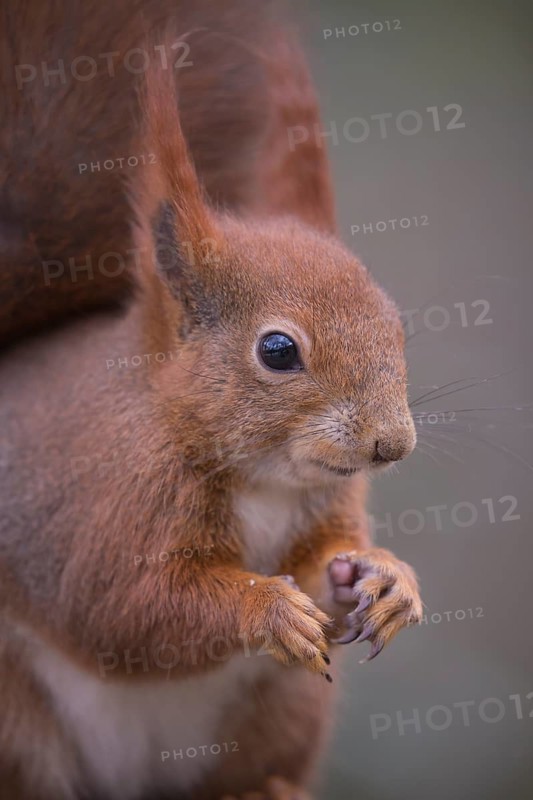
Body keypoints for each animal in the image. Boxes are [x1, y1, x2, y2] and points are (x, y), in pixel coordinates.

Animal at [0, 2, 423, 799]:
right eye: (278, 351)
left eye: (397, 323)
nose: (393, 445)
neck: (265, 481)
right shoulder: (105, 511)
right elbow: (127, 612)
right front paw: (265, 607)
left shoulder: (326, 509)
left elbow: (328, 559)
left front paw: (384, 576)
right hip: (16, 716)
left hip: (280, 708)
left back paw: (266, 787)